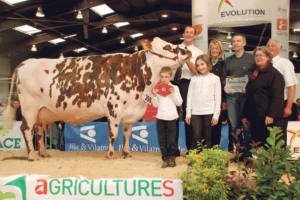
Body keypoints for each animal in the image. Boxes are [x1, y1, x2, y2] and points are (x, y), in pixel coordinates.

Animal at [4, 37, 190, 161]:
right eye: (167, 46)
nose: (187, 51)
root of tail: (24, 63)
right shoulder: (114, 109)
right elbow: (113, 133)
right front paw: (111, 155)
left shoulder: (130, 111)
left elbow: (127, 133)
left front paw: (127, 153)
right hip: (29, 107)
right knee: (26, 129)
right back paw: (32, 156)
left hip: (42, 112)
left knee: (39, 131)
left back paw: (44, 153)